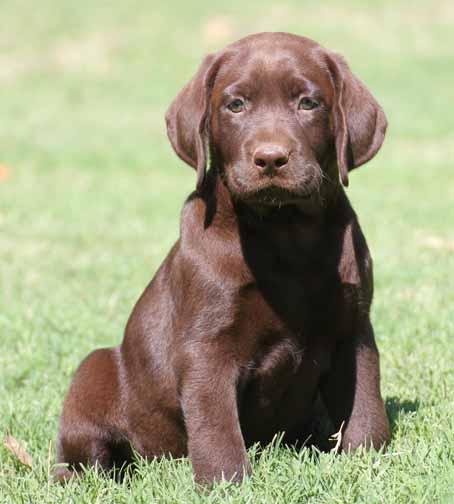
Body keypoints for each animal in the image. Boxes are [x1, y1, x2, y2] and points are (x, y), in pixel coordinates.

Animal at [55, 31, 390, 484]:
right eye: (236, 105)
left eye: (308, 103)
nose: (270, 158)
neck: (285, 232)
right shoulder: (206, 347)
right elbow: (216, 425)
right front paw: (226, 482)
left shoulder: (352, 328)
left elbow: (366, 407)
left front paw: (369, 461)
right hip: (94, 372)